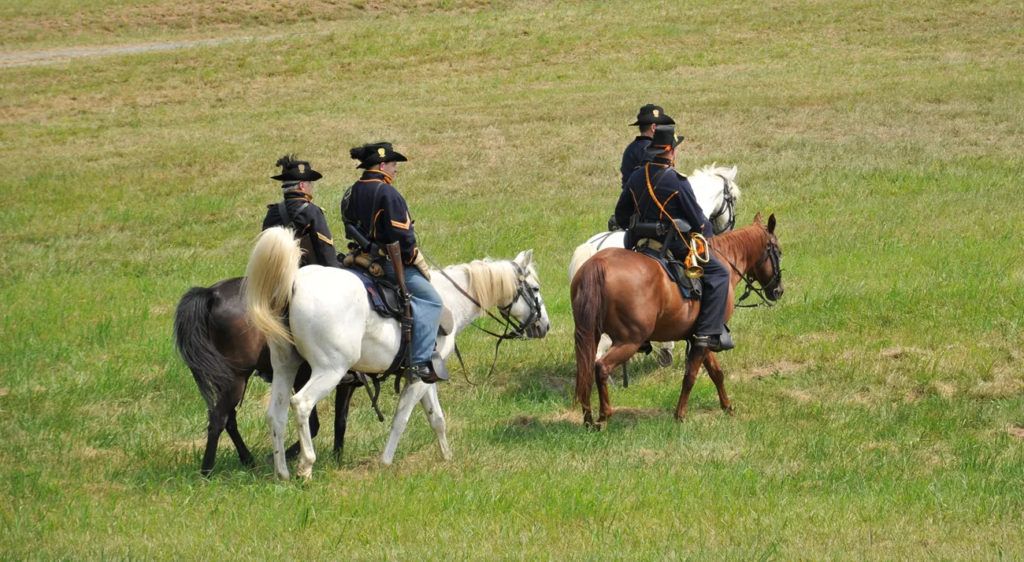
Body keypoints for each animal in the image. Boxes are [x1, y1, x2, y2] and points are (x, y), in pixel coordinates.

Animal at [172, 278, 356, 474]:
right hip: (236, 381)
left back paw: (248, 460)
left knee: (229, 419)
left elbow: (337, 421)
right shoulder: (317, 379)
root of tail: (213, 294)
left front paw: (335, 459)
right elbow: (321, 423)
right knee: (218, 419)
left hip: (229, 380)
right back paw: (207, 471)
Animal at [245, 225, 552, 479]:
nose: (545, 326)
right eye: (535, 288)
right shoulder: (416, 378)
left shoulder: (426, 375)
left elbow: (437, 419)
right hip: (329, 370)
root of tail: (294, 283)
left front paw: (447, 457)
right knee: (301, 404)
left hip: (285, 365)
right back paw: (305, 467)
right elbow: (401, 419)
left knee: (276, 413)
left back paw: (282, 472)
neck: (450, 301)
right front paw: (386, 461)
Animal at [569, 213, 782, 425]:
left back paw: (588, 418)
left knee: (585, 369)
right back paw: (604, 414)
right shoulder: (707, 334)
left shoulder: (701, 336)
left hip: (591, 334)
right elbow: (691, 376)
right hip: (628, 341)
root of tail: (598, 263)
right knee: (601, 367)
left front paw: (727, 407)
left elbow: (716, 372)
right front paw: (680, 414)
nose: (778, 291)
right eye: (778, 252)